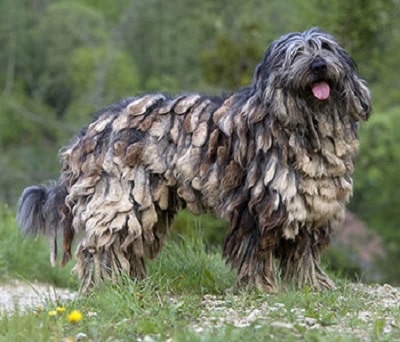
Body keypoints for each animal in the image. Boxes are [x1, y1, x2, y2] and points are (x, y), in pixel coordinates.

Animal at [17, 28, 370, 292]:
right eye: (296, 54)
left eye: (325, 49)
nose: (318, 65)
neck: (304, 124)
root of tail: (90, 130)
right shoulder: (259, 205)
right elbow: (256, 251)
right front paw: (259, 287)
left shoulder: (312, 204)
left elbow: (303, 252)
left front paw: (310, 286)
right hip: (120, 196)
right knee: (100, 245)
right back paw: (105, 285)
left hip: (148, 203)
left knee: (128, 244)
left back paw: (130, 283)